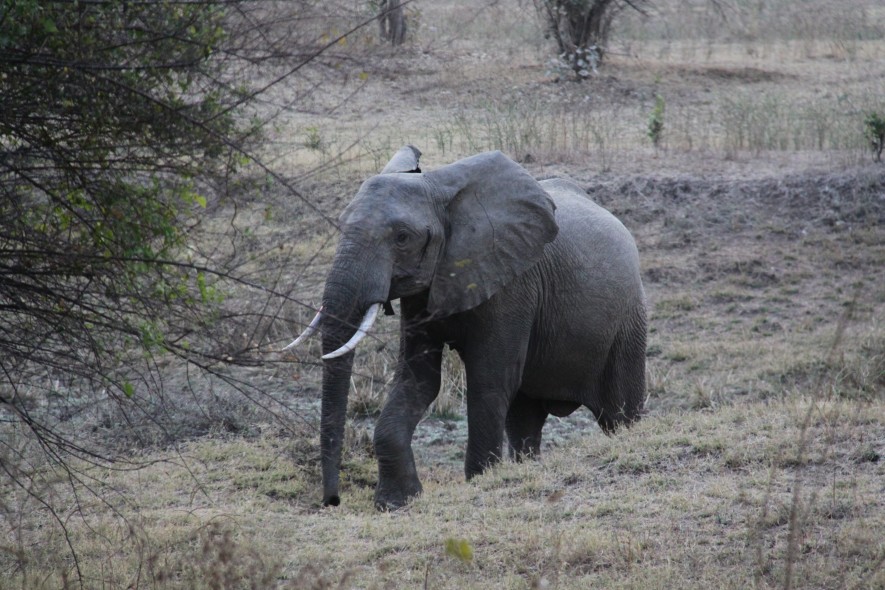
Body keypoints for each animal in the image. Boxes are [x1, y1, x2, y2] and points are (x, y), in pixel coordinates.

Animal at [285, 146, 647, 510]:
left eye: (402, 238)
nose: (332, 501)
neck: (439, 189)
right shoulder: (422, 294)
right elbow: (418, 379)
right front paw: (396, 502)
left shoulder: (511, 283)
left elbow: (489, 379)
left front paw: (480, 481)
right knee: (524, 419)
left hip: (629, 320)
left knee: (620, 413)